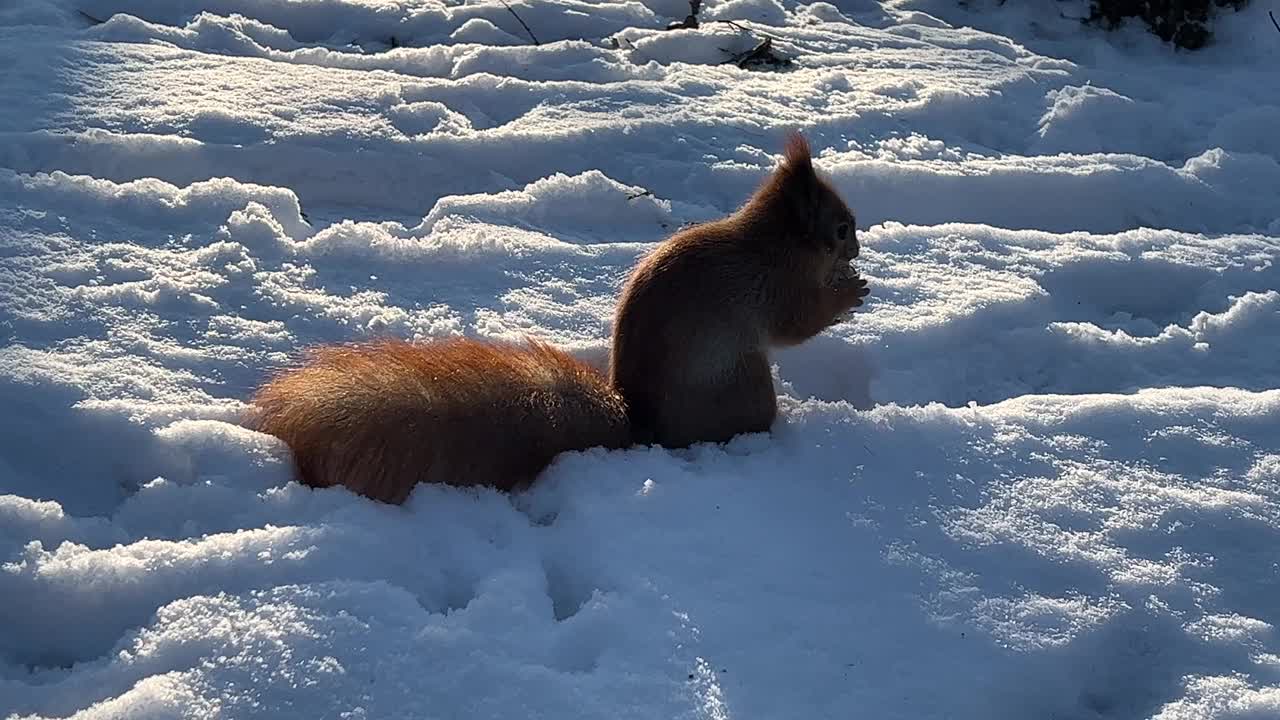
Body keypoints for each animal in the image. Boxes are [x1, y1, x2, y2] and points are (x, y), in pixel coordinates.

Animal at [247, 133, 870, 504]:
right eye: (841, 227)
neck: (775, 242)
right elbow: (797, 323)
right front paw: (850, 293)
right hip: (746, 382)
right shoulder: (775, 287)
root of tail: (647, 432)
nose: (860, 249)